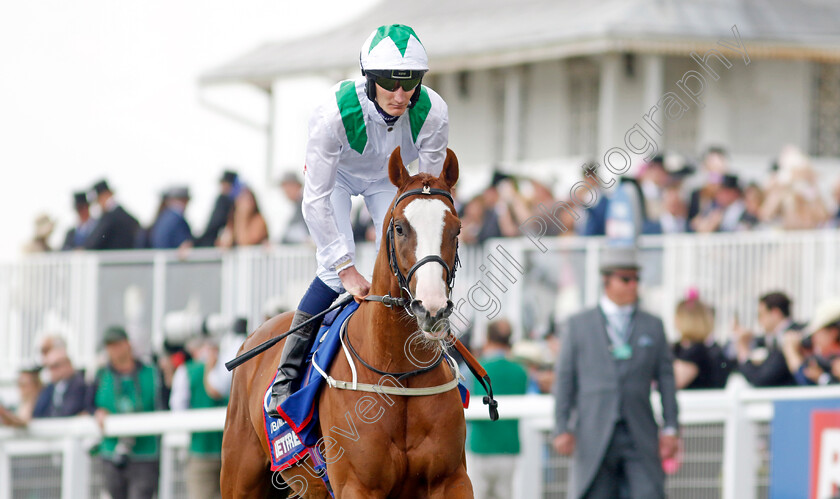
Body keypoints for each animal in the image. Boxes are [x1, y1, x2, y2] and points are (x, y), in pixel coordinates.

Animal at [223, 149, 472, 499]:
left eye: (456, 230)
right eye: (399, 228)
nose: (432, 307)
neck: (399, 374)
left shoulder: (451, 480)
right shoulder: (357, 485)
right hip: (241, 476)